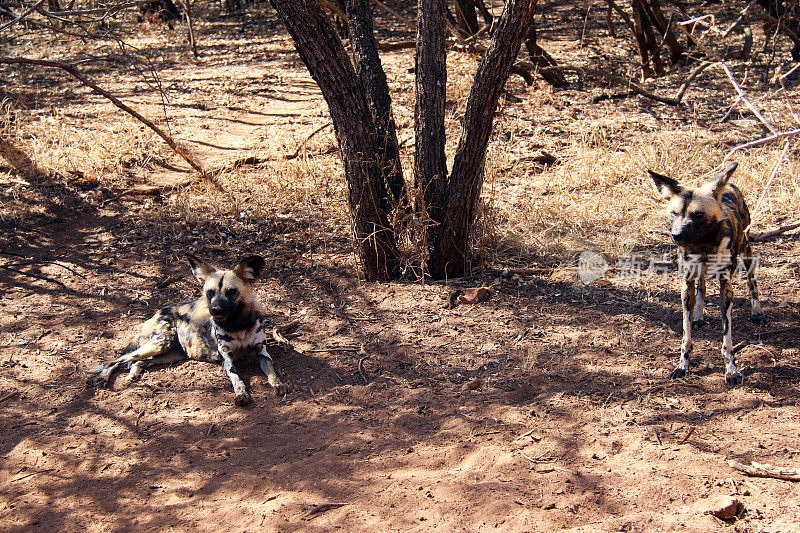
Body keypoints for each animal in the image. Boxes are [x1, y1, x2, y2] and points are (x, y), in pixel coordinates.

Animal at [89, 254, 290, 404]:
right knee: (117, 359)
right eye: (209, 293)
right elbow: (236, 378)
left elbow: (272, 372)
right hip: (160, 344)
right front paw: (241, 393)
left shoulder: (262, 353)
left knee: (139, 361)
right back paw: (103, 377)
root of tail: (158, 312)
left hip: (172, 352)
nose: (214, 310)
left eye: (231, 292)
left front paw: (278, 385)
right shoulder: (227, 359)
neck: (237, 324)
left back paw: (132, 376)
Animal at [648, 160, 764, 384]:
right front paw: (683, 365)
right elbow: (686, 335)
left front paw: (731, 369)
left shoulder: (726, 286)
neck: (702, 245)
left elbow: (727, 338)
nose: (676, 235)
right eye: (674, 213)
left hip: (746, 252)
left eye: (698, 215)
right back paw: (699, 315)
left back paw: (757, 311)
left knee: (752, 282)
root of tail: (727, 185)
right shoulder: (686, 284)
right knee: (701, 287)